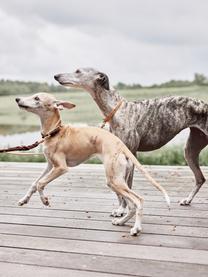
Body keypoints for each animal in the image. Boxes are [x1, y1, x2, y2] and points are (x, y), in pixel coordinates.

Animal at [15, 93, 170, 235]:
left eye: (37, 98)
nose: (17, 99)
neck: (55, 132)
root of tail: (120, 145)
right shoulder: (50, 166)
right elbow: (35, 183)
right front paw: (24, 200)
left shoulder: (61, 168)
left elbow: (41, 184)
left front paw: (45, 200)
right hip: (118, 181)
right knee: (131, 205)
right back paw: (121, 222)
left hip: (114, 180)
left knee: (138, 200)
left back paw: (136, 228)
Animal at [54, 68, 207, 215]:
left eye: (78, 71)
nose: (56, 76)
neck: (116, 110)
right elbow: (120, 189)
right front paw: (121, 209)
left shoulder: (130, 157)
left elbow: (127, 187)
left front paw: (122, 210)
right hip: (190, 150)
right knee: (200, 178)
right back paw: (187, 200)